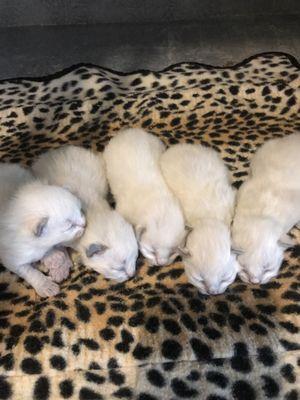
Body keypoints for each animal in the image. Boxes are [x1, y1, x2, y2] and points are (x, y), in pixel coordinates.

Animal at [0, 162, 85, 296]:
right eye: (70, 226)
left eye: (81, 211)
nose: (84, 223)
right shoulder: (11, 258)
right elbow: (29, 271)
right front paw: (46, 285)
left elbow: (56, 247)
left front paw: (58, 263)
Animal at [31, 145, 137, 282]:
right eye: (118, 268)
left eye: (134, 257)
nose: (131, 276)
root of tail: (54, 151)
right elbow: (56, 247)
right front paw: (60, 268)